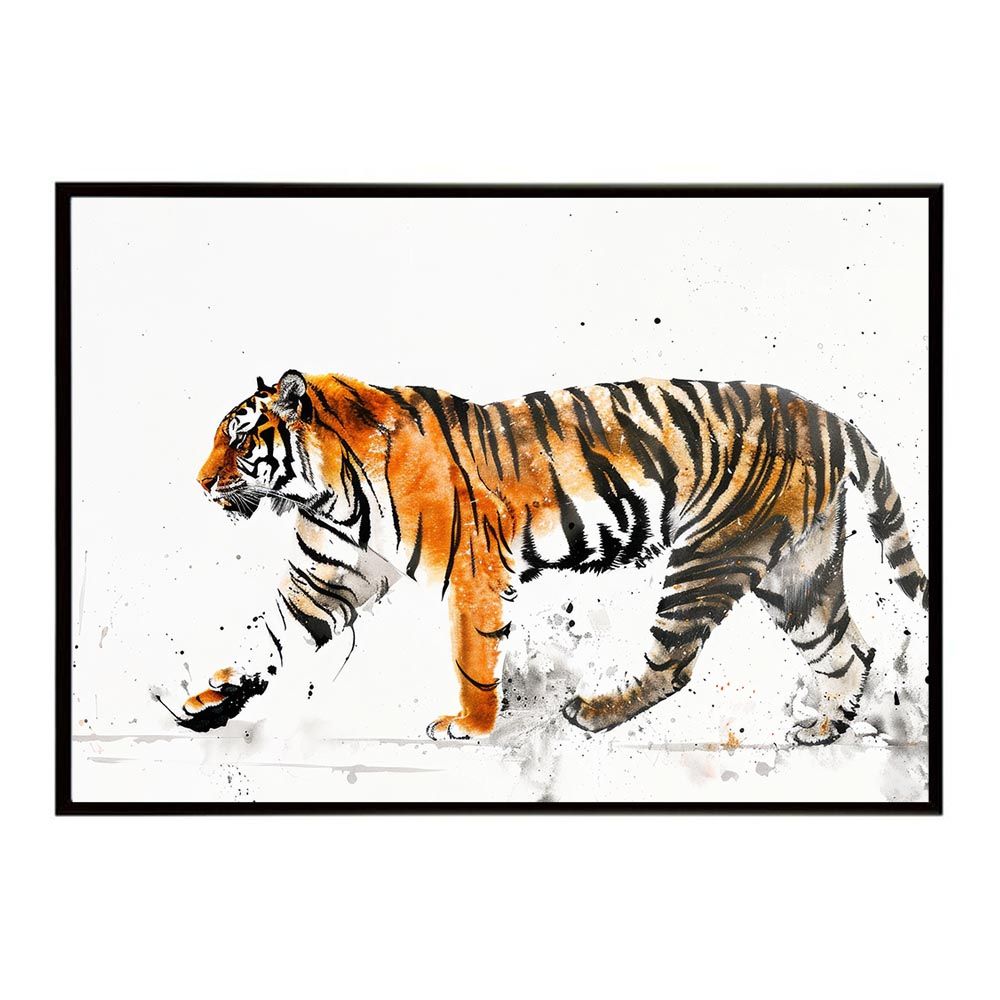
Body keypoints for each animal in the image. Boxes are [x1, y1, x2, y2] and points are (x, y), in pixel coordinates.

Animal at [181, 369, 929, 744]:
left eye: (239, 440)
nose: (200, 482)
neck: (326, 490)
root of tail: (828, 417)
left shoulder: (474, 573)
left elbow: (473, 659)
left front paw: (470, 726)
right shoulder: (328, 575)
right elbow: (270, 633)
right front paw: (208, 699)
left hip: (709, 555)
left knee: (675, 661)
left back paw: (591, 712)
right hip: (797, 572)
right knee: (849, 650)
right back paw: (825, 729)